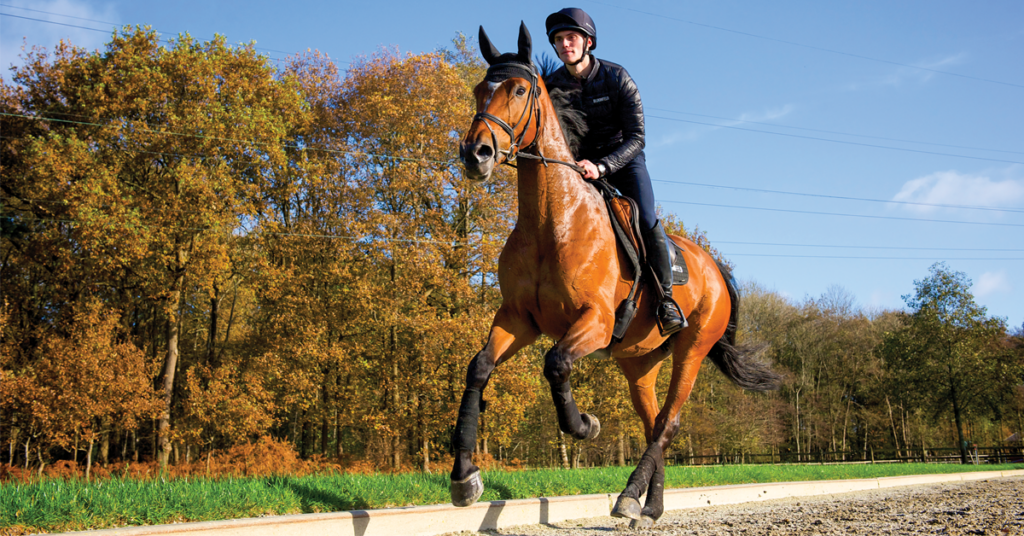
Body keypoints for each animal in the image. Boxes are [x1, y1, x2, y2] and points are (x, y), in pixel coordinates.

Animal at [450, 22, 781, 527]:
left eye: (519, 90)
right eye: (478, 90)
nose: (476, 154)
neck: (552, 220)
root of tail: (715, 269)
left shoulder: (596, 322)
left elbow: (556, 364)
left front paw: (585, 424)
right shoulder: (519, 319)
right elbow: (479, 368)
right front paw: (465, 477)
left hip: (692, 347)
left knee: (669, 423)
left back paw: (628, 496)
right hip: (639, 364)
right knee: (652, 425)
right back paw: (650, 506)